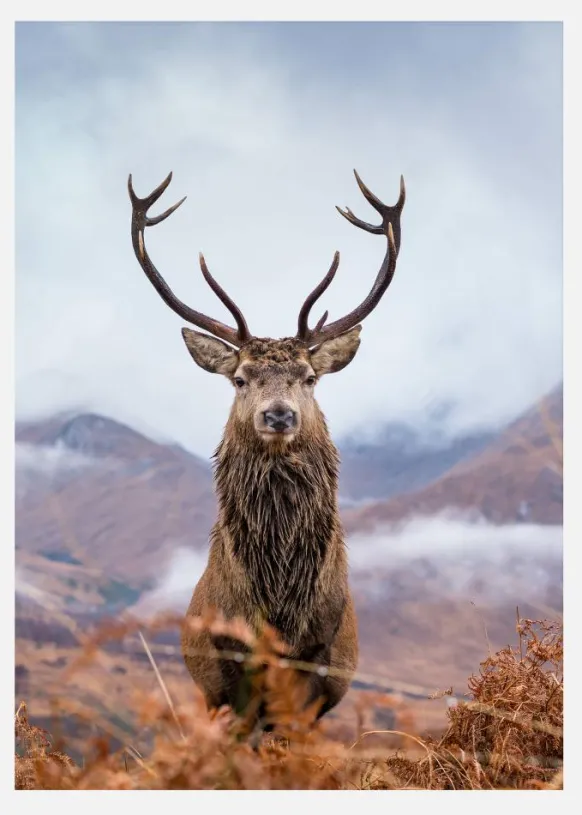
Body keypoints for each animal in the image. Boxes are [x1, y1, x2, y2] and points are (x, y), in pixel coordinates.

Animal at [128, 168, 405, 730]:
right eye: (239, 378)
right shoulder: (227, 663)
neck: (278, 606)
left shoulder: (317, 659)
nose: (278, 415)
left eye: (310, 377)